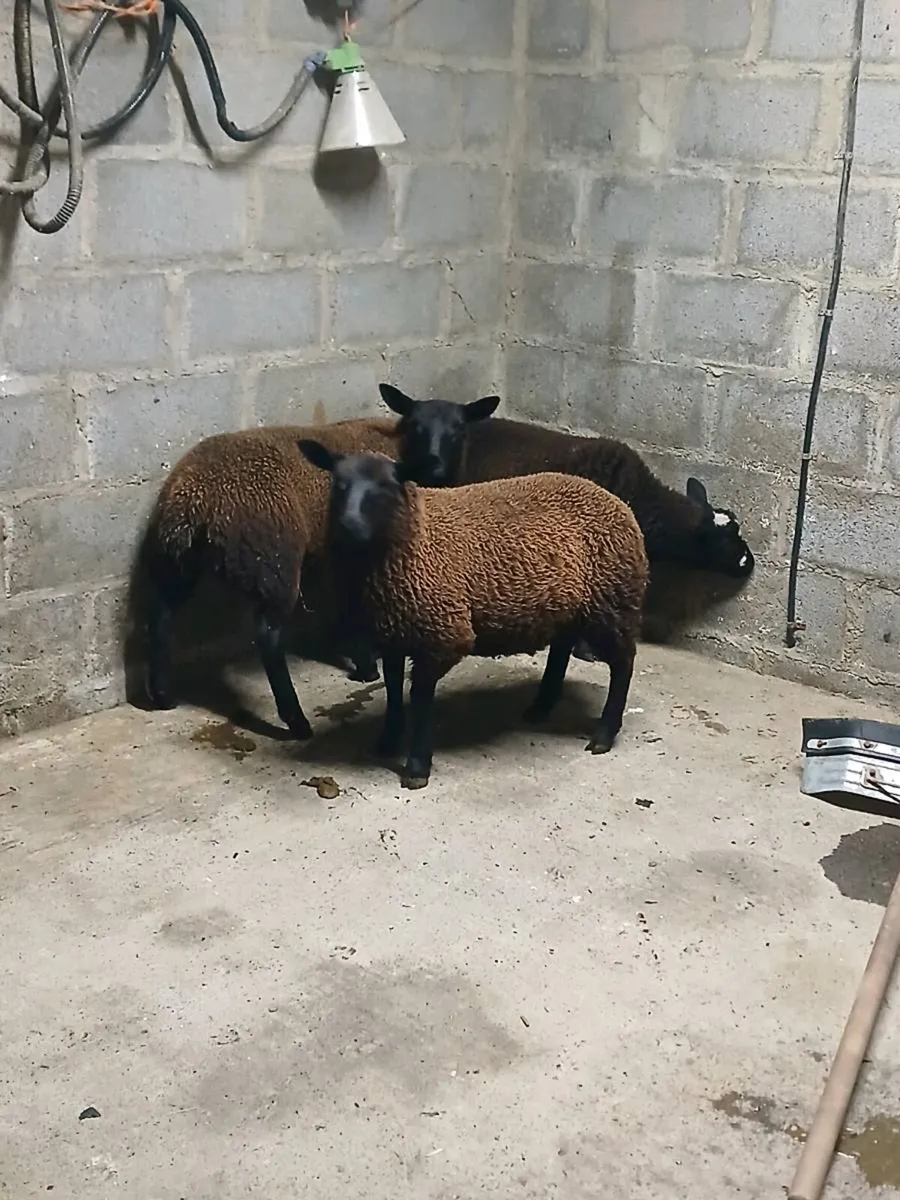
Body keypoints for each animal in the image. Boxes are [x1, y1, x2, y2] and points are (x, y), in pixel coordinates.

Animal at [141, 384, 501, 739]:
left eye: (459, 428)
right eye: (415, 425)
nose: (435, 467)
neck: (399, 450)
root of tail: (199, 496)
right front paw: (367, 665)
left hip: (177, 555)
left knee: (161, 614)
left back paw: (162, 695)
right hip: (273, 559)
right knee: (268, 636)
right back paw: (296, 721)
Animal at [297, 439, 650, 790]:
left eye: (386, 486)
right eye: (338, 484)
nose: (349, 526)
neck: (418, 534)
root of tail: (612, 498)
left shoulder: (442, 634)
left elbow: (421, 698)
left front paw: (417, 766)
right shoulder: (392, 631)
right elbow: (394, 688)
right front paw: (388, 739)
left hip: (613, 600)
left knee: (623, 664)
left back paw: (604, 734)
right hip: (569, 605)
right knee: (562, 649)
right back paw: (540, 707)